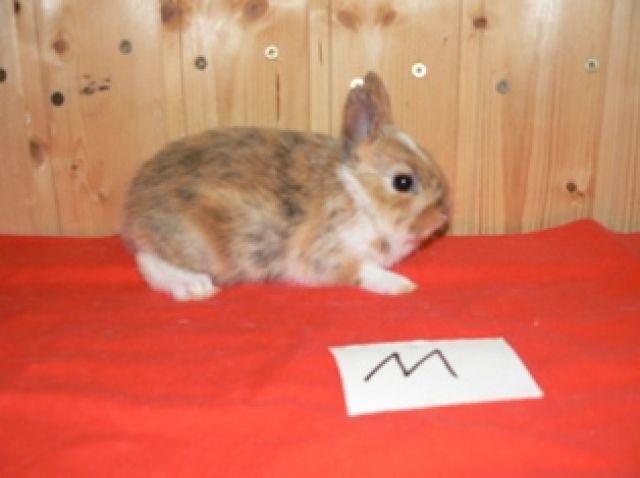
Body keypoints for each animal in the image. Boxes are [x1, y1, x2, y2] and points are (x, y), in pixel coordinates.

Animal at [121, 71, 449, 300]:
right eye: (403, 182)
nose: (443, 216)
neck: (358, 193)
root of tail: (131, 211)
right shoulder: (329, 254)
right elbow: (364, 270)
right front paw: (401, 285)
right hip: (199, 246)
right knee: (147, 259)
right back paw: (193, 286)